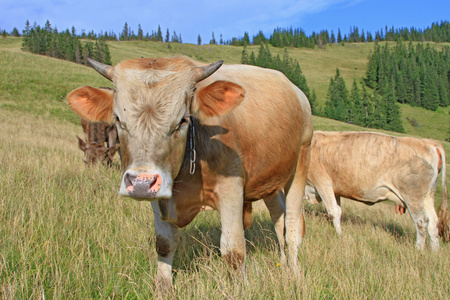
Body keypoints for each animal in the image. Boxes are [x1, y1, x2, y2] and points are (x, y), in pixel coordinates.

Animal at [67, 55, 312, 288]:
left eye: (182, 120)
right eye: (118, 119)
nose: (141, 183)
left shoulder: (231, 189)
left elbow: (233, 250)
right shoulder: (160, 192)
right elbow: (164, 244)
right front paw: (163, 289)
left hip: (301, 161)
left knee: (292, 226)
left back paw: (294, 274)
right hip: (270, 181)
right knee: (279, 219)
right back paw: (284, 265)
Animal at [304, 131, 448, 251]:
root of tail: (428, 143)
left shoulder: (323, 183)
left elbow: (333, 212)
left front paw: (339, 236)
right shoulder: (336, 190)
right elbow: (338, 211)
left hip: (413, 197)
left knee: (422, 222)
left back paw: (418, 250)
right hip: (428, 196)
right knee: (433, 223)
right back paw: (434, 252)